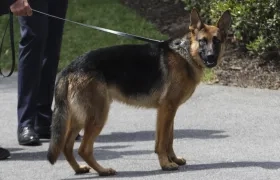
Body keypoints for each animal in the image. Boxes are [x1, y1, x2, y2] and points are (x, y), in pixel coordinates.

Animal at [47, 8, 232, 176]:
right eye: (202, 41)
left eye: (216, 41)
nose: (211, 57)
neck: (186, 54)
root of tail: (69, 68)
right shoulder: (167, 109)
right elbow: (162, 142)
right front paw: (166, 164)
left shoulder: (169, 110)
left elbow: (169, 139)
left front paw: (173, 159)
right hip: (98, 115)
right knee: (83, 149)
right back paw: (103, 171)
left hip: (80, 117)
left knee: (67, 146)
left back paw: (79, 169)